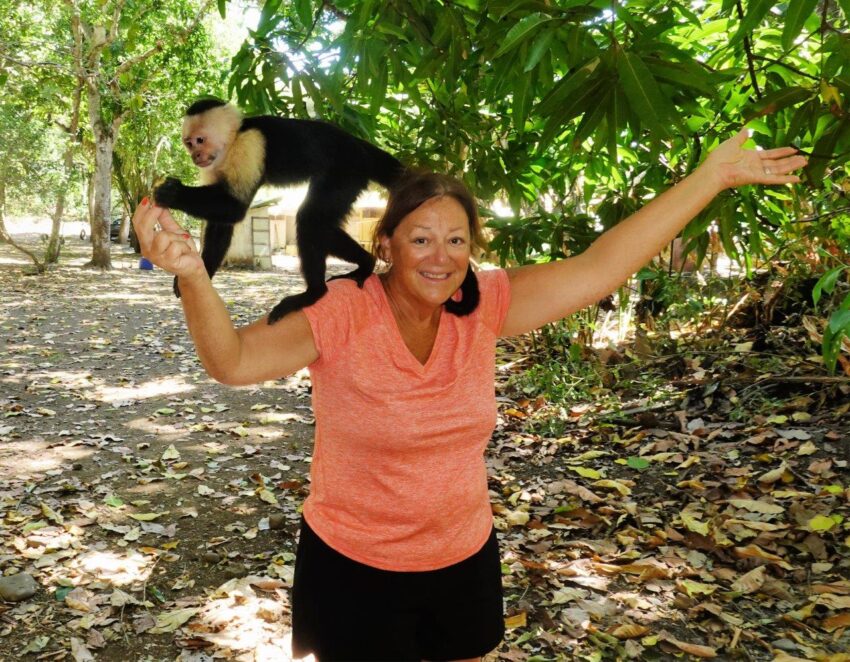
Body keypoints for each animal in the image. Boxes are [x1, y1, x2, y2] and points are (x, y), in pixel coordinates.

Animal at [154, 98, 476, 324]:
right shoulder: (214, 166)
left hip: (345, 170)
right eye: (188, 143)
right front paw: (204, 272)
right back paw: (366, 263)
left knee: (309, 219)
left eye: (200, 140)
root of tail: (357, 144)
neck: (232, 142)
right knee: (320, 224)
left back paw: (313, 293)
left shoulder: (249, 146)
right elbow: (224, 223)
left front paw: (172, 193)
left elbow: (235, 208)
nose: (195, 156)